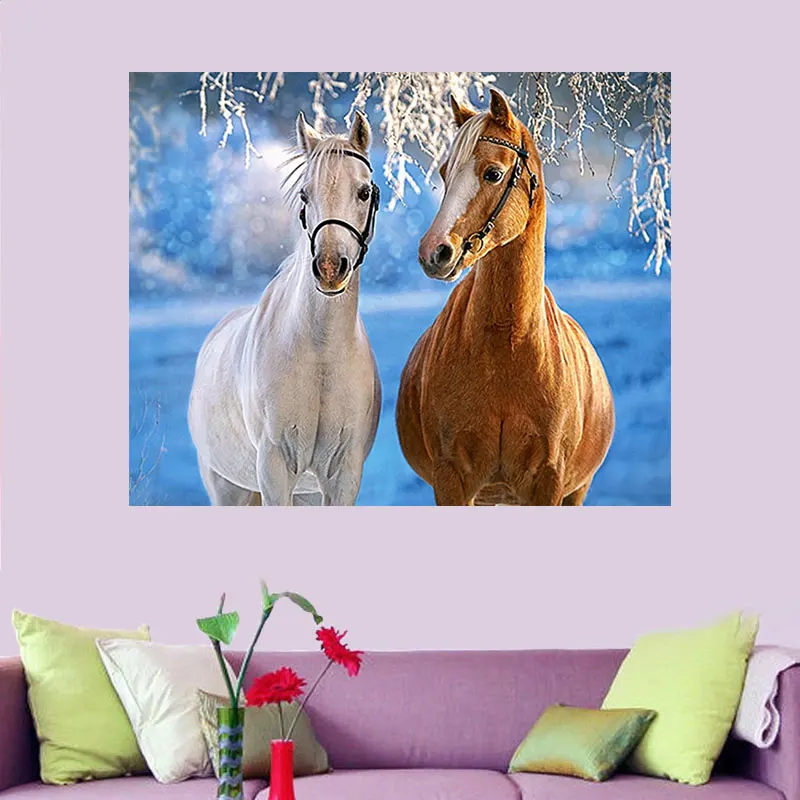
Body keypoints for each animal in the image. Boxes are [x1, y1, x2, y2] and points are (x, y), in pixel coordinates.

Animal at [188, 111, 382, 506]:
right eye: (305, 194)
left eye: (364, 191)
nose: (329, 268)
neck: (320, 354)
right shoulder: (275, 470)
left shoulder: (343, 475)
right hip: (228, 488)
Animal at [396, 89, 614, 506]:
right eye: (445, 173)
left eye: (493, 174)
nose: (434, 252)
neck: (506, 346)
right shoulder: (451, 481)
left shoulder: (548, 483)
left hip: (577, 491)